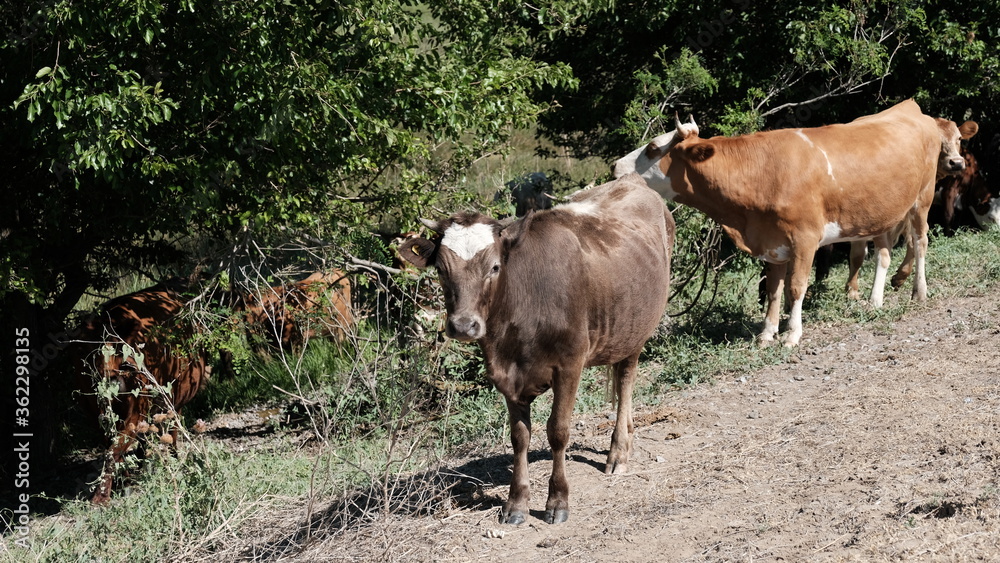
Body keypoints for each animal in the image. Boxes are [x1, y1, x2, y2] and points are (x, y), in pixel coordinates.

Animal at [73, 280, 209, 503]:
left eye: (119, 348)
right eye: (90, 354)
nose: (112, 381)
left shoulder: (137, 410)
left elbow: (114, 449)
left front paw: (100, 498)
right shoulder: (96, 414)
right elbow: (112, 447)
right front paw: (123, 481)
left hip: (175, 396)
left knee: (173, 428)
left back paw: (173, 458)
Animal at [400, 176, 673, 525]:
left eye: (494, 267)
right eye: (440, 269)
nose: (463, 325)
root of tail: (630, 180)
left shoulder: (570, 365)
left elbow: (557, 431)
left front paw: (557, 501)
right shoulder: (505, 374)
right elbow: (520, 437)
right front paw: (516, 503)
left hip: (636, 330)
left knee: (625, 380)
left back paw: (618, 452)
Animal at [614, 100, 943, 347]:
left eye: (653, 148)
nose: (615, 166)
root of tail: (909, 108)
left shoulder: (805, 239)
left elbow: (796, 287)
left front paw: (792, 334)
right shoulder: (772, 243)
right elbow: (774, 289)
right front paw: (767, 333)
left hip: (923, 199)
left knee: (921, 242)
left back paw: (919, 292)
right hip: (881, 213)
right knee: (883, 254)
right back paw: (875, 300)